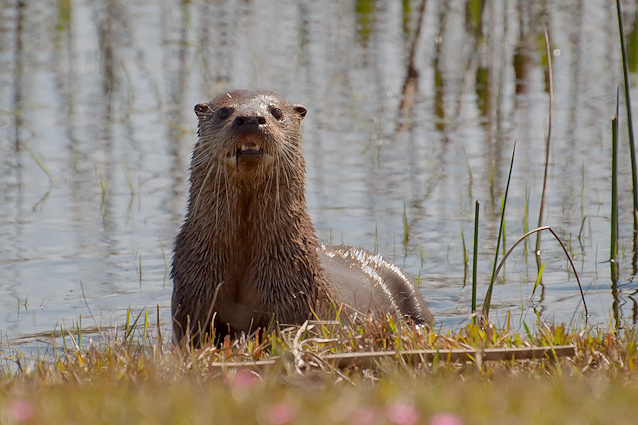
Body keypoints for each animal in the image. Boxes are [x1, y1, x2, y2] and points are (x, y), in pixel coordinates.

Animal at [171, 89, 436, 344]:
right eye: (224, 111)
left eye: (276, 112)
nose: (250, 118)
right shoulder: (194, 298)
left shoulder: (291, 298)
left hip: (410, 292)